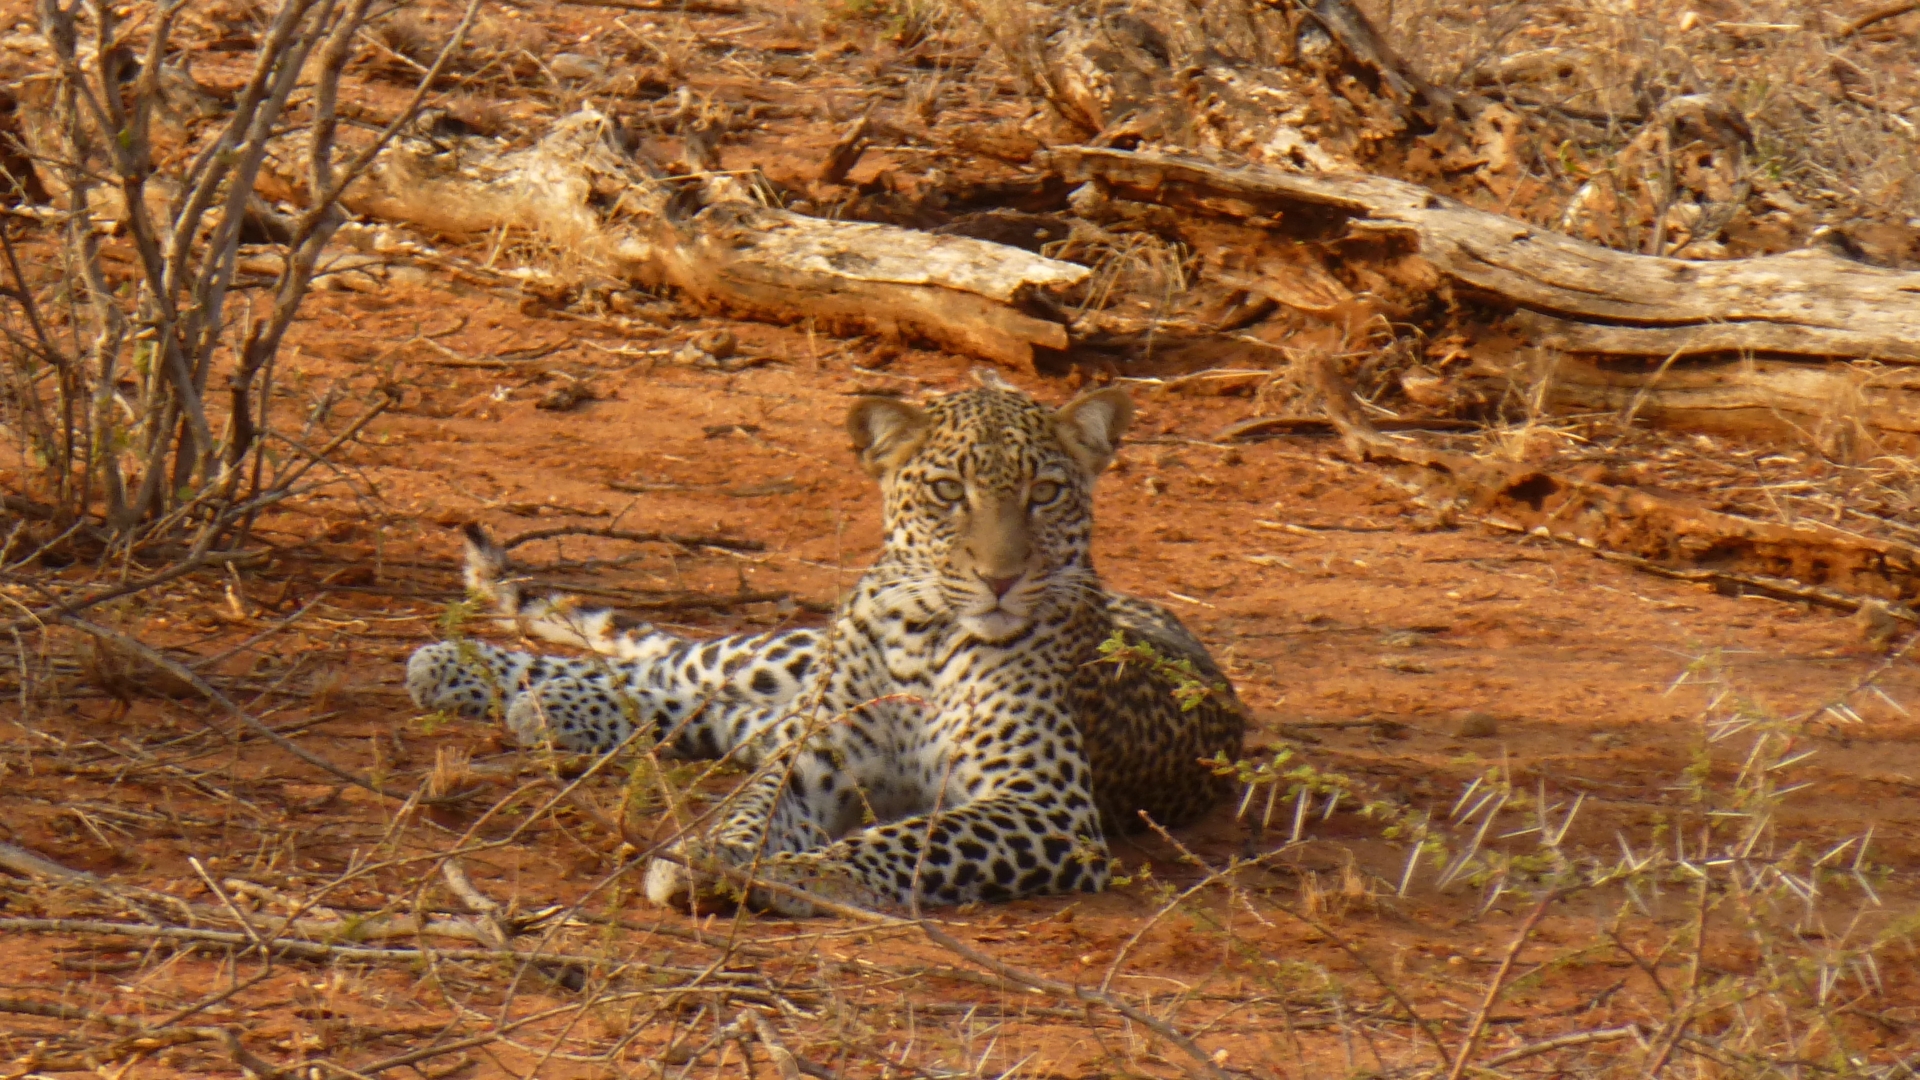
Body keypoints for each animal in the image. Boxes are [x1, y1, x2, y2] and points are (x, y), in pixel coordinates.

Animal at [405, 376, 1244, 907]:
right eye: (949, 492)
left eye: (1046, 493)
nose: (1001, 579)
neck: (924, 641)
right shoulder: (811, 757)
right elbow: (754, 807)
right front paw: (714, 857)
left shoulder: (1047, 808)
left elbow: (907, 842)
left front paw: (807, 877)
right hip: (794, 663)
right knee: (679, 664)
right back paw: (454, 666)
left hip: (772, 706)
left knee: (697, 703)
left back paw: (540, 706)